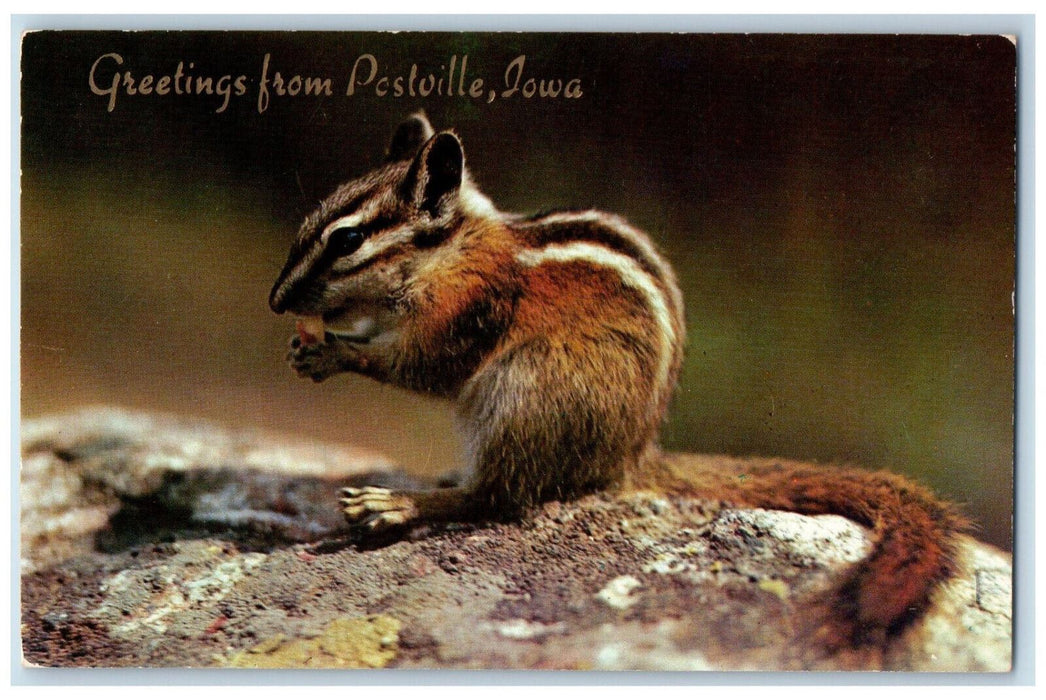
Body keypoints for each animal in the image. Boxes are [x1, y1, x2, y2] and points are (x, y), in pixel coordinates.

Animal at [269, 112, 968, 645]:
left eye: (347, 240)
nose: (277, 302)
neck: (453, 251)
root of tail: (629, 456)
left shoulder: (467, 314)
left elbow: (419, 366)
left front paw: (334, 353)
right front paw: (309, 342)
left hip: (527, 389)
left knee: (499, 498)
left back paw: (396, 504)